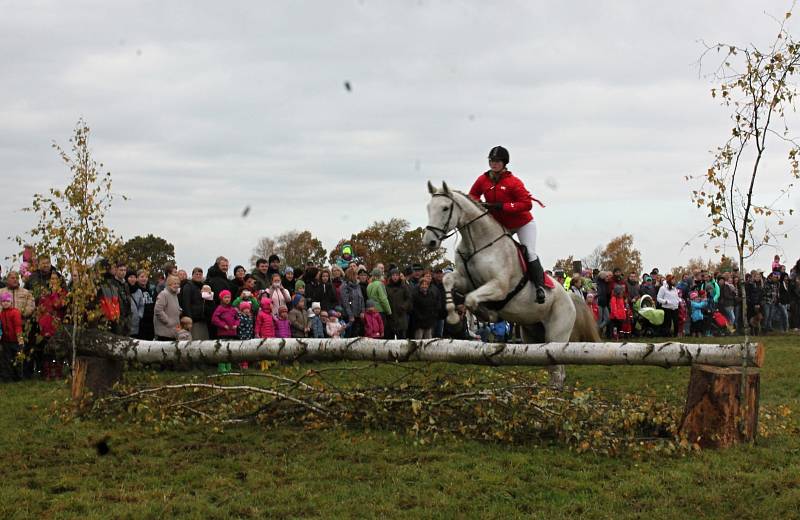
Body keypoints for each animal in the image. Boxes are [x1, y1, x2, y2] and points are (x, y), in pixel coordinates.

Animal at [422, 181, 596, 388]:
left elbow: (472, 299)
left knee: (558, 369)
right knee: (552, 367)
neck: (477, 243)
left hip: (557, 334)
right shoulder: (465, 280)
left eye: (445, 208)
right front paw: (454, 318)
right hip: (532, 334)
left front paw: (487, 314)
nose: (430, 241)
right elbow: (448, 281)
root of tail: (569, 297)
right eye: (428, 208)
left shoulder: (499, 286)